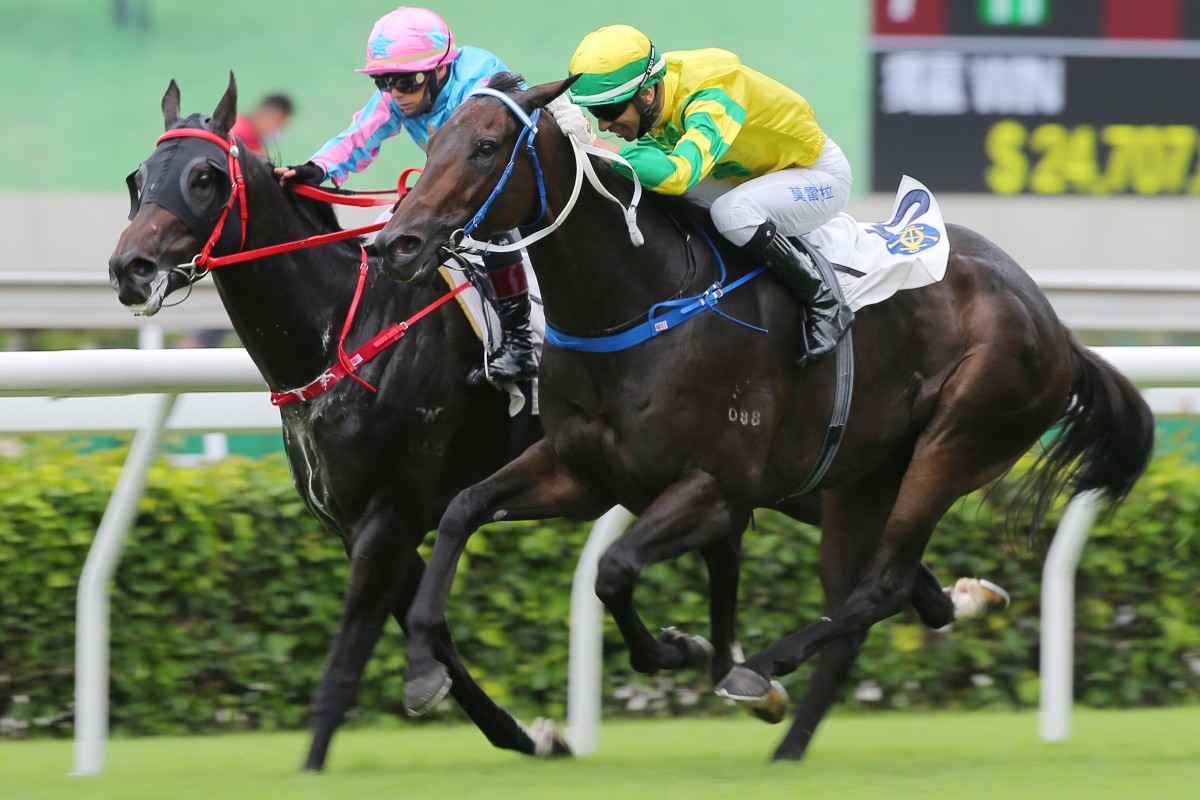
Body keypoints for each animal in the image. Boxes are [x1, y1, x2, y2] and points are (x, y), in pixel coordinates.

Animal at [106, 74, 566, 767]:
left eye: (204, 177)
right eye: (138, 178)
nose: (129, 269)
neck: (344, 335)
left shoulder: (390, 512)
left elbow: (348, 656)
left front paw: (316, 757)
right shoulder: (357, 522)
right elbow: (436, 638)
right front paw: (525, 732)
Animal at [374, 76, 1152, 762]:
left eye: (486, 147)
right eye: (433, 140)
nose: (396, 244)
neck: (639, 302)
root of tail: (1058, 327)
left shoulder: (715, 487)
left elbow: (615, 570)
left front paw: (682, 649)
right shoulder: (582, 471)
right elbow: (462, 511)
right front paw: (421, 667)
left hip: (954, 444)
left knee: (882, 587)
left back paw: (764, 671)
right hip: (861, 477)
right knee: (863, 600)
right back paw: (801, 732)